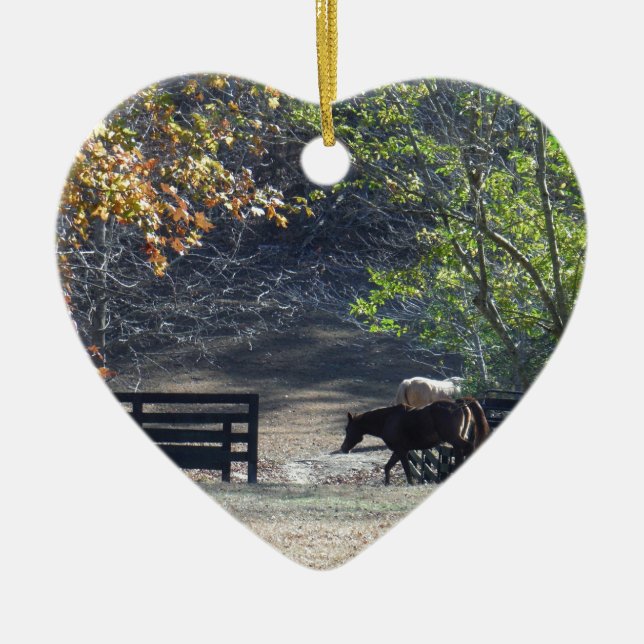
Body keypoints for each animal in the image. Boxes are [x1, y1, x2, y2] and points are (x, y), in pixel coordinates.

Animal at [340, 397, 490, 485]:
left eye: (348, 429)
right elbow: (388, 467)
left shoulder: (401, 451)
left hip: (454, 438)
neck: (387, 420)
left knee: (469, 448)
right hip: (456, 439)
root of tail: (459, 404)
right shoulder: (399, 451)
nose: (343, 448)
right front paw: (387, 483)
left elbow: (407, 470)